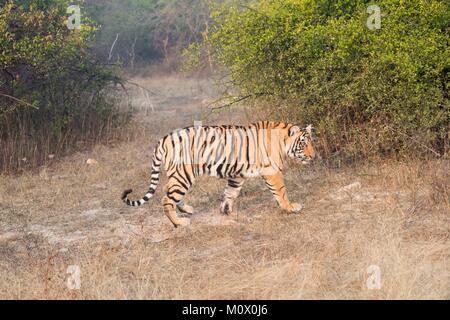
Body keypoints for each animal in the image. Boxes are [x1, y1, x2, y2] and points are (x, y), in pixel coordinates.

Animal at [121, 120, 314, 228]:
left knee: (167, 191)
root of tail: (164, 139)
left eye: (312, 142)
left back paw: (186, 209)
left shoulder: (237, 175)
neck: (282, 140)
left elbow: (230, 192)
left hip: (177, 174)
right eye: (303, 144)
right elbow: (281, 191)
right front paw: (291, 207)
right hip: (183, 174)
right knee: (166, 199)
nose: (313, 156)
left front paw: (225, 211)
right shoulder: (272, 171)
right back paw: (179, 223)